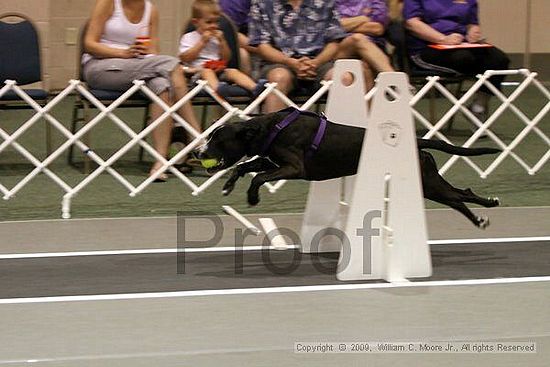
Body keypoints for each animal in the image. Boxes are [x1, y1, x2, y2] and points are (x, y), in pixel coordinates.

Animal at [201, 108, 502, 229]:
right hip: (429, 181)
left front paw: (252, 197)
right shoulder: (271, 161)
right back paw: (485, 211)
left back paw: (484, 212)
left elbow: (259, 177)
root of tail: (417, 141)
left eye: (217, 140)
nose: (198, 153)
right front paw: (228, 186)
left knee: (458, 197)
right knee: (461, 195)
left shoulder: (294, 168)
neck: (270, 128)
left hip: (427, 183)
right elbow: (244, 167)